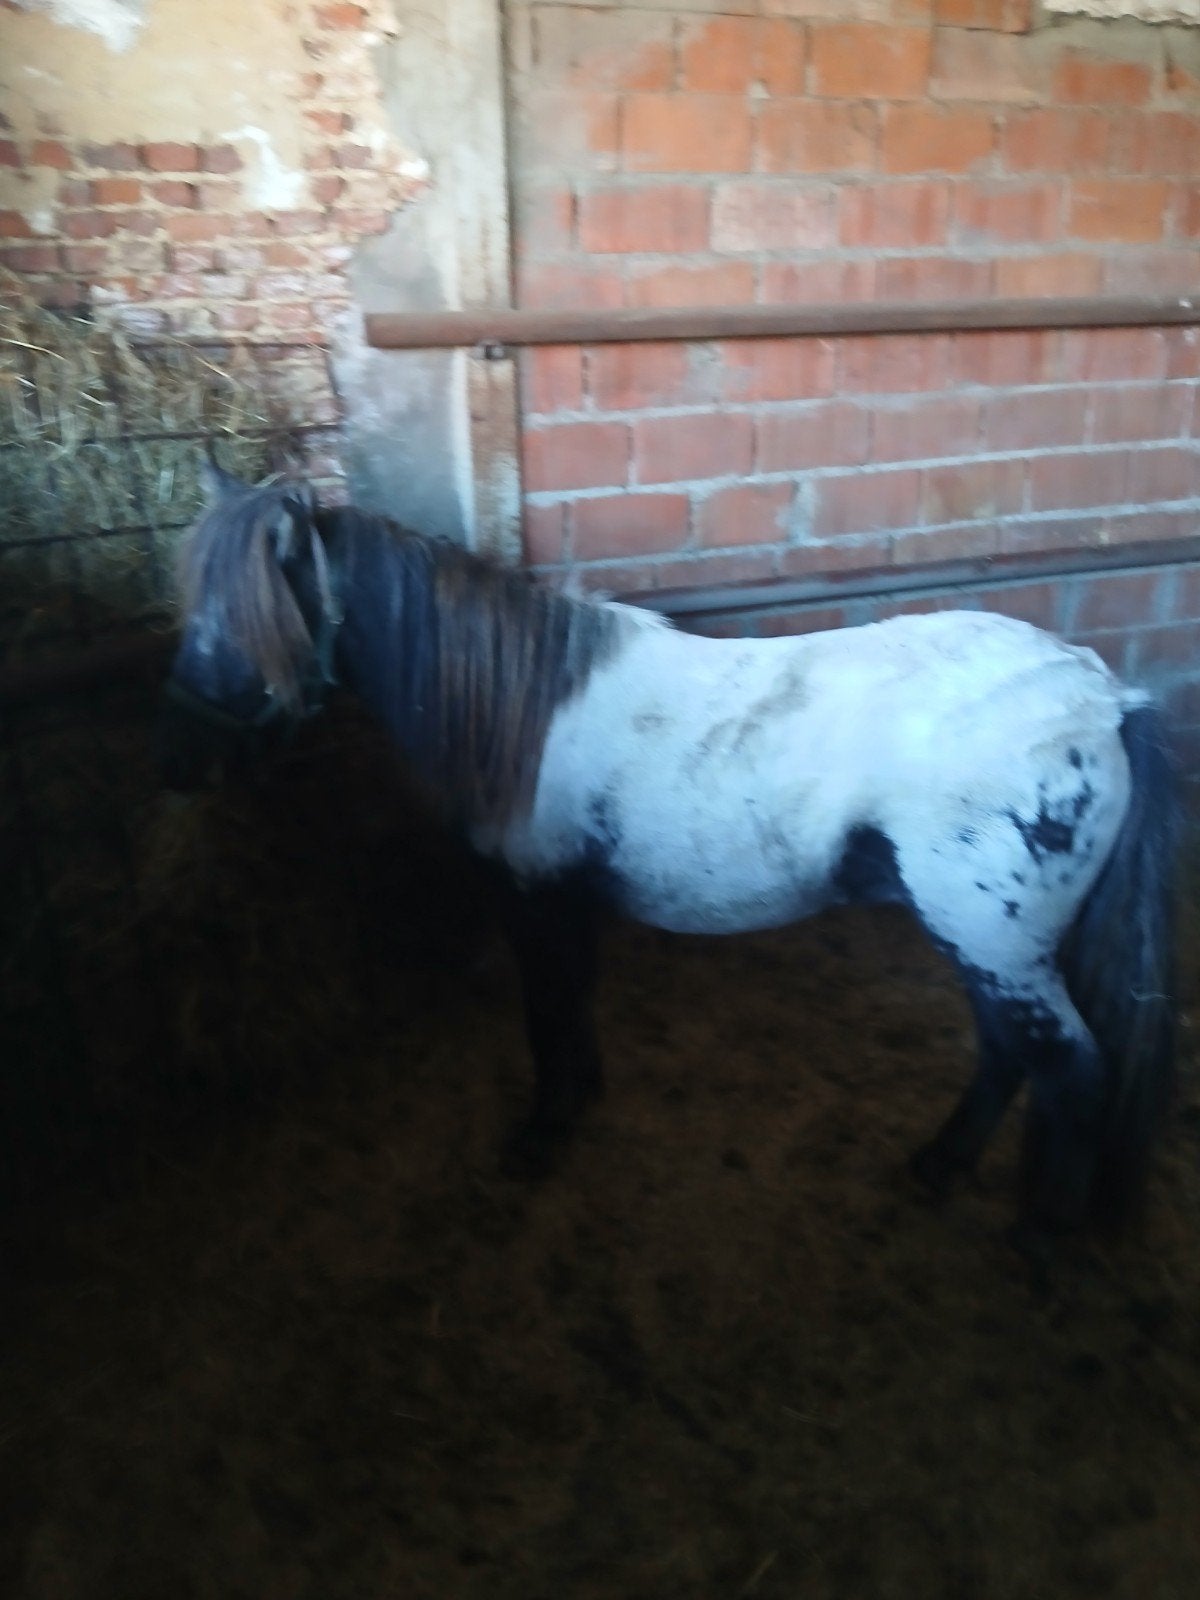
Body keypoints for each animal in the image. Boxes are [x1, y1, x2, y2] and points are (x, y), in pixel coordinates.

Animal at [158, 466, 1178, 1251]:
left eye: (250, 628)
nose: (180, 764)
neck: (519, 711)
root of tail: (1102, 702)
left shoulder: (536, 899)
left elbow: (547, 1012)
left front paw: (543, 1134)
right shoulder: (567, 902)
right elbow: (572, 1004)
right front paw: (579, 1102)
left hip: (996, 944)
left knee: (1071, 1072)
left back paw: (1039, 1239)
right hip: (983, 942)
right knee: (1010, 1056)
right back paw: (938, 1167)